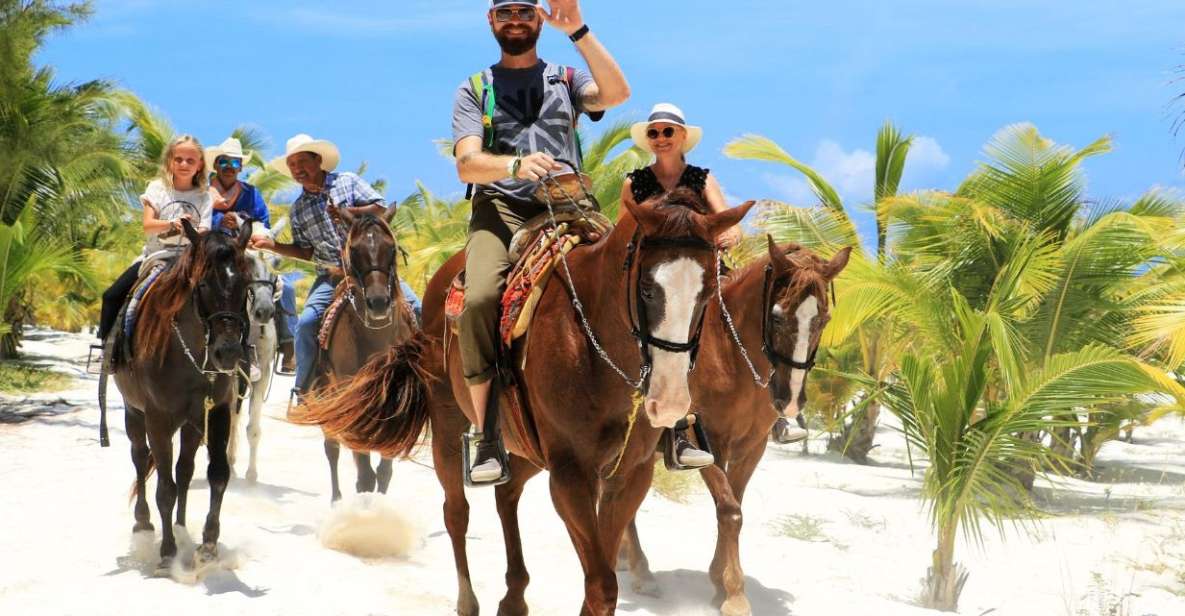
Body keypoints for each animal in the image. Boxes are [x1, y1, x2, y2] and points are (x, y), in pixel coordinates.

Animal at [107, 219, 254, 575]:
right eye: (202, 284)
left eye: (246, 284)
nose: (229, 353)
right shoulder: (158, 420)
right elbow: (165, 488)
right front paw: (167, 552)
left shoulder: (217, 412)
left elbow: (217, 475)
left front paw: (209, 545)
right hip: (135, 415)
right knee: (140, 459)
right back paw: (145, 525)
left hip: (191, 425)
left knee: (185, 470)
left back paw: (182, 527)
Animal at [611, 236, 853, 616]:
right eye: (777, 317)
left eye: (823, 319)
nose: (790, 399)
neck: (731, 355)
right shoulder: (707, 446)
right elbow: (729, 511)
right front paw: (734, 593)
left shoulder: (752, 448)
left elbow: (735, 504)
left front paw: (717, 579)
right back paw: (641, 571)